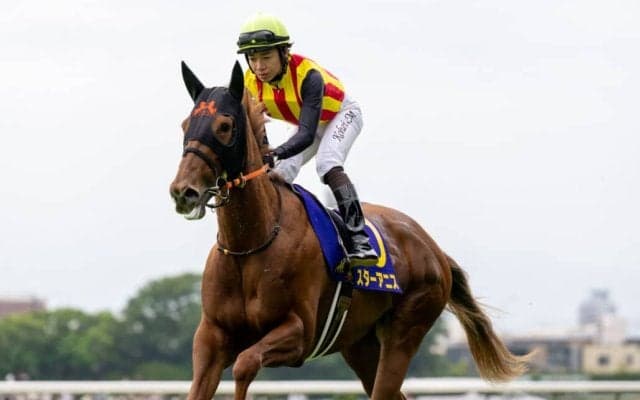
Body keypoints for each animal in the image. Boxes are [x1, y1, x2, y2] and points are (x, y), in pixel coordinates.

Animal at [169, 61, 529, 400]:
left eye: (225, 126)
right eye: (186, 125)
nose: (183, 191)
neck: (252, 243)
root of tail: (434, 249)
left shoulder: (298, 333)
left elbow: (245, 365)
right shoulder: (212, 337)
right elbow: (200, 385)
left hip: (406, 329)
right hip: (360, 344)